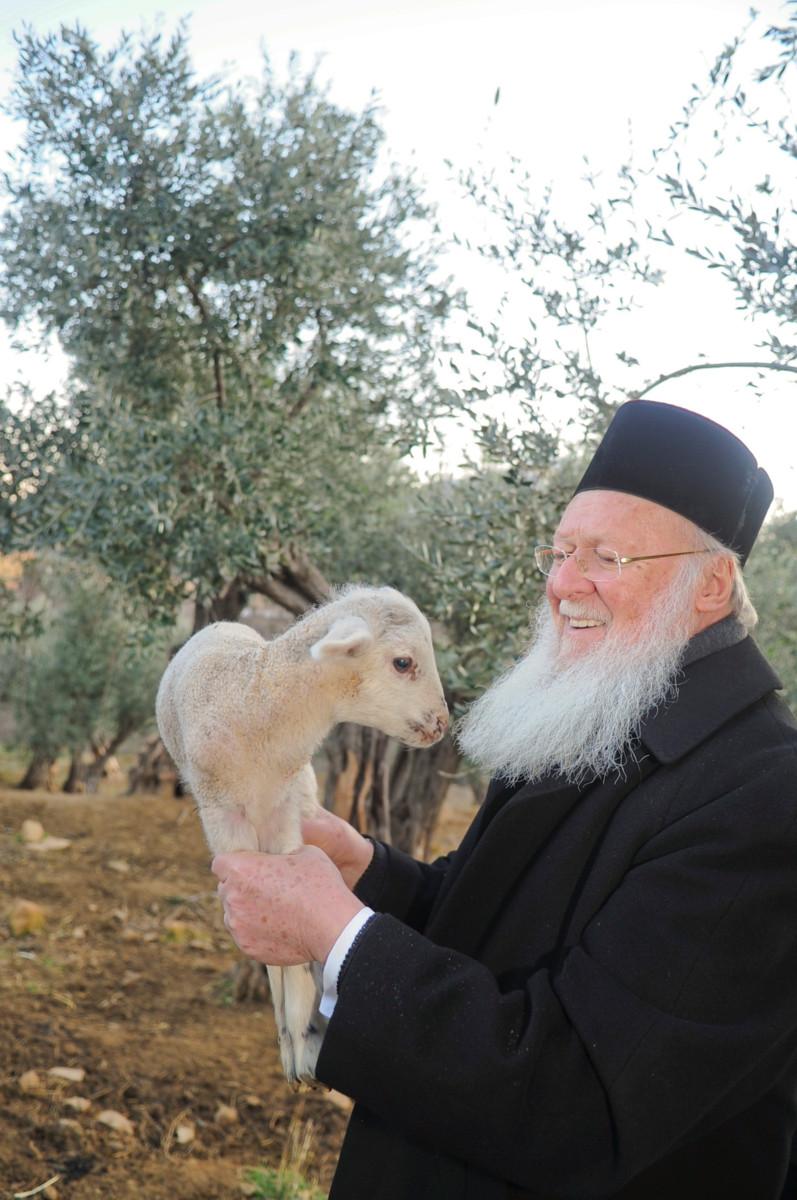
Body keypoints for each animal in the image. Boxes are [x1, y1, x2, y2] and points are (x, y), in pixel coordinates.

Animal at [156, 585, 448, 1084]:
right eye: (403, 663)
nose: (443, 724)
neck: (257, 701)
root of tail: (220, 625)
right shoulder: (223, 815)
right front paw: (294, 1035)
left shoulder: (286, 807)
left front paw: (303, 1033)